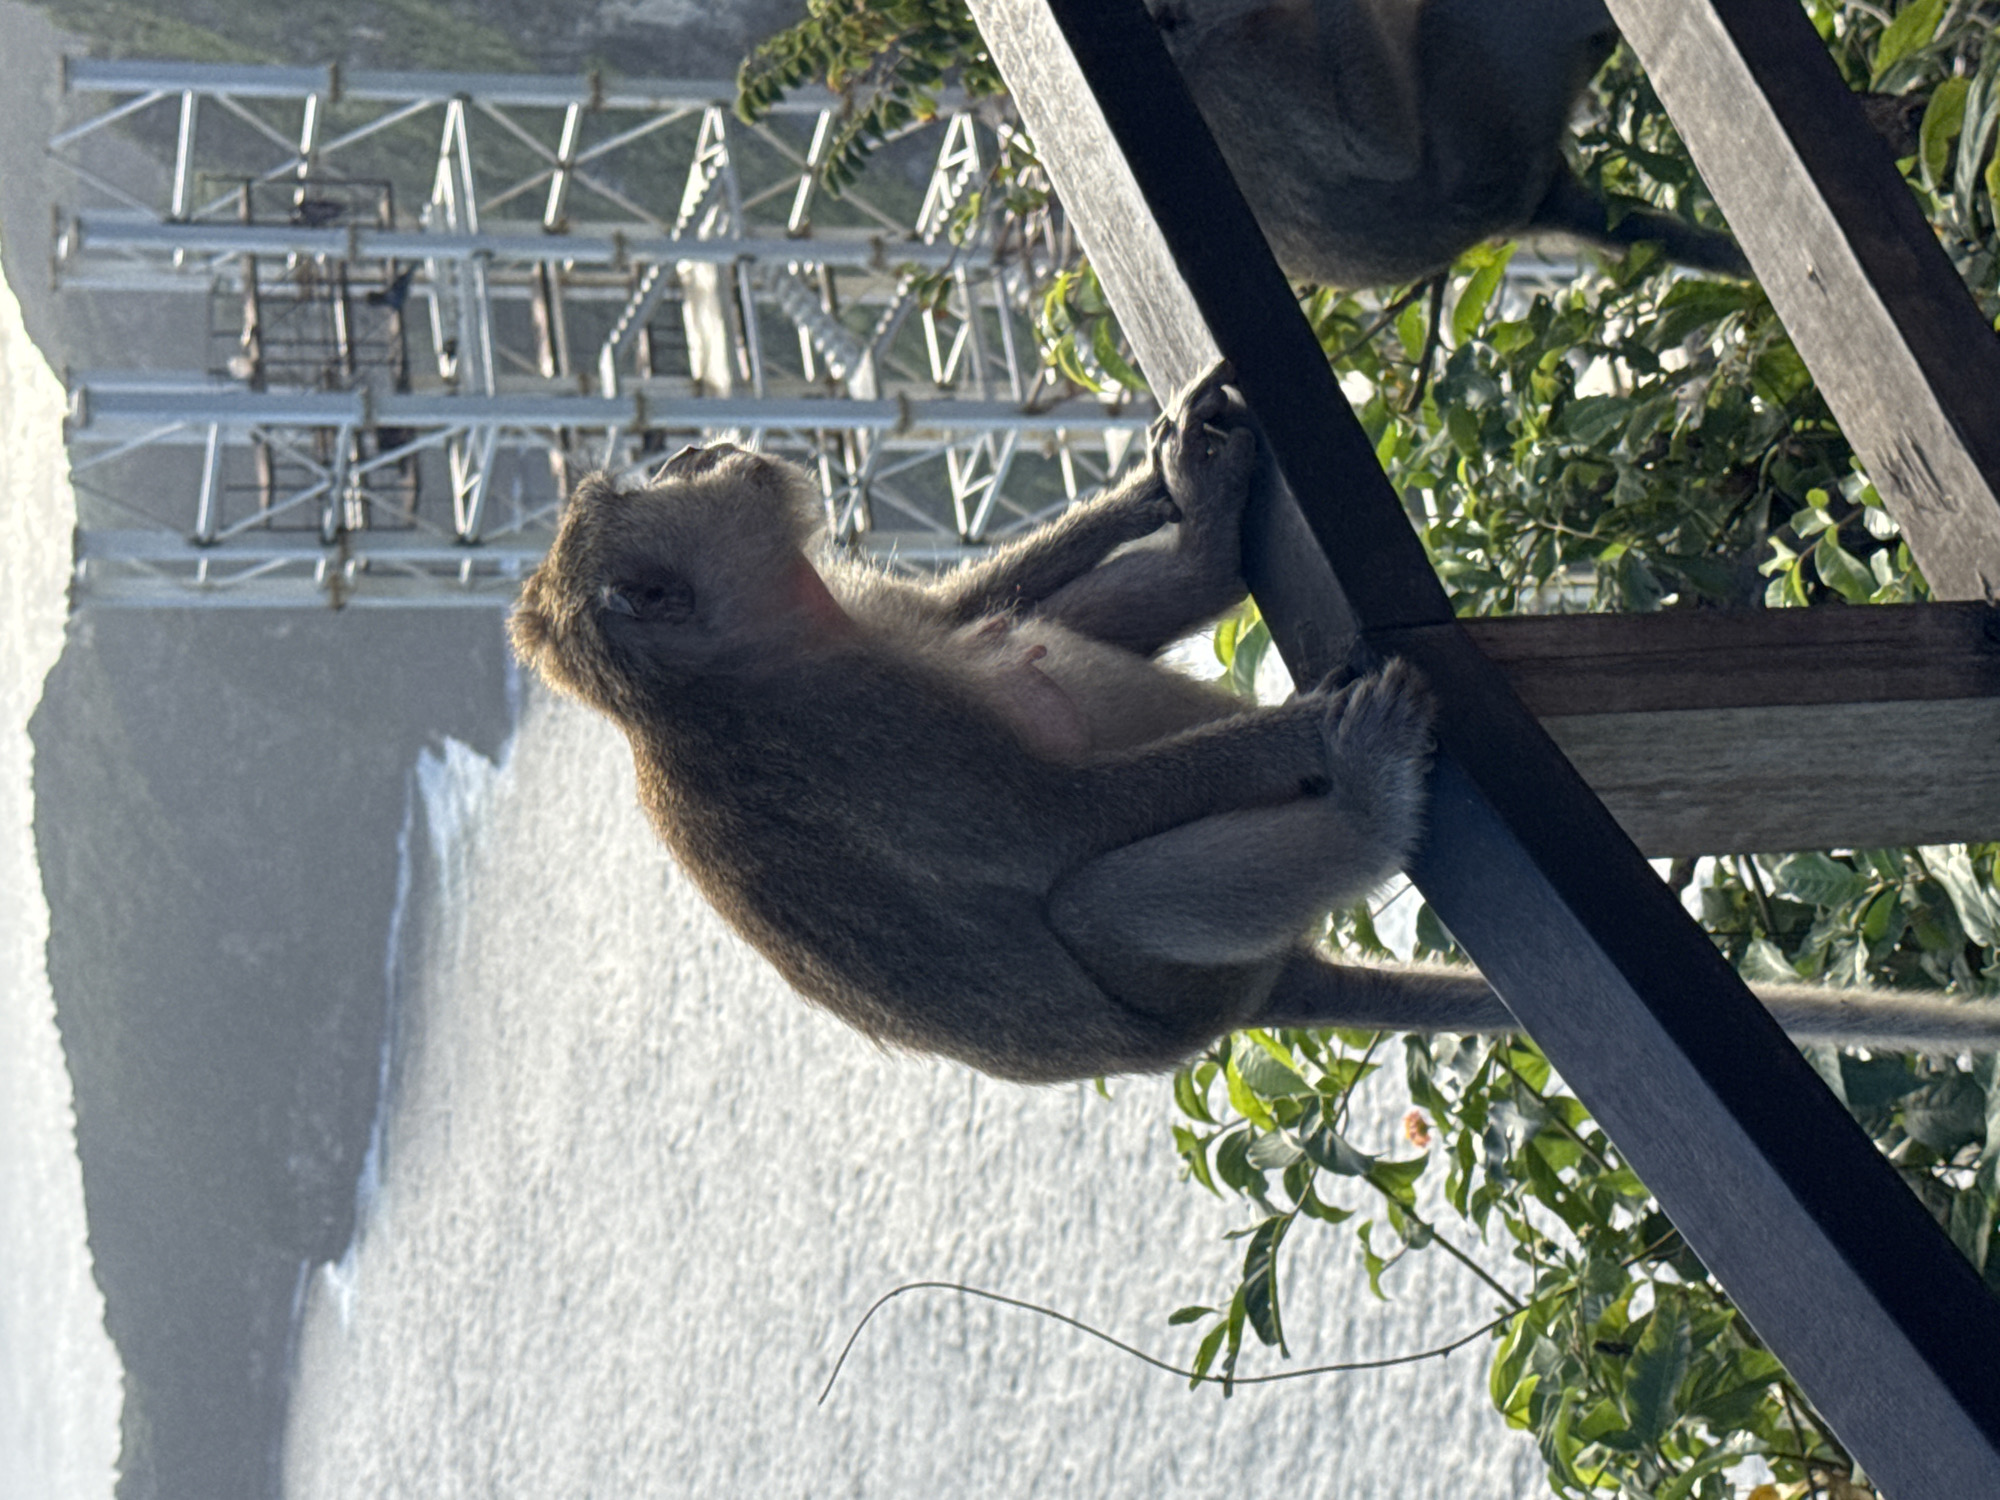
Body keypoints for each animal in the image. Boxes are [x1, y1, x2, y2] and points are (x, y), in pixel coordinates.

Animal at [510, 369, 2000, 1083]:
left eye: (671, 462)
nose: (721, 449)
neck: (730, 669)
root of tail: (1268, 995)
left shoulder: (859, 621)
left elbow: (979, 607)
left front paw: (1186, 485)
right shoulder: (840, 726)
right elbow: (1050, 828)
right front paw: (1315, 739)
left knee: (1021, 639)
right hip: (1186, 979)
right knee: (1104, 895)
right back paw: (1363, 801)